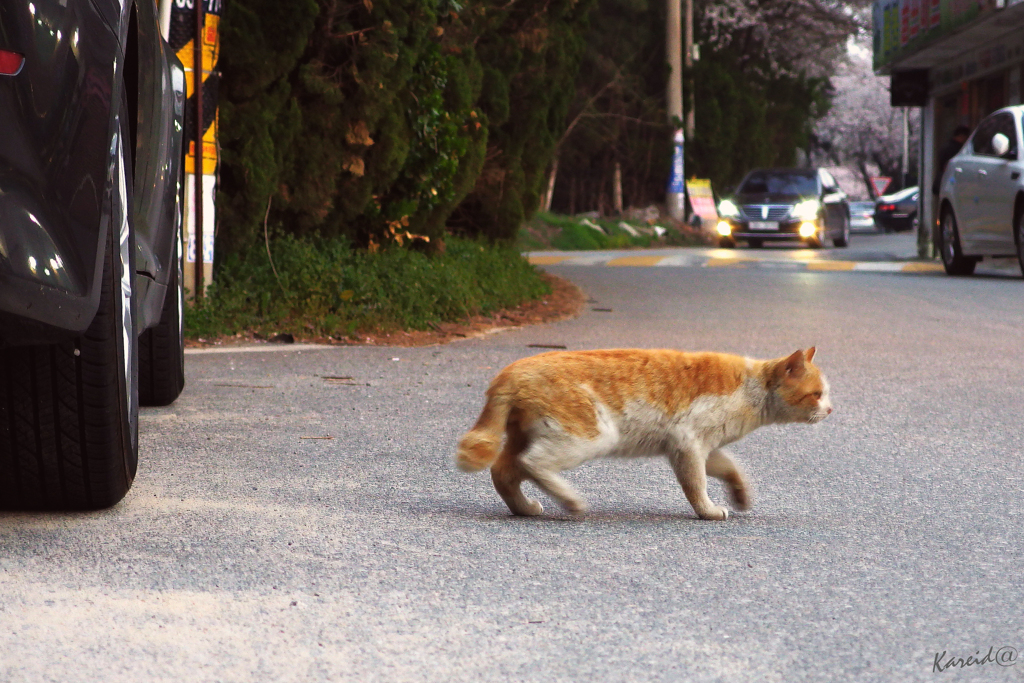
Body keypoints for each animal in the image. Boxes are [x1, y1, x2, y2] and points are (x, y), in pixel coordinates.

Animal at [456, 350, 831, 520]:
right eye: (816, 394)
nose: (830, 410)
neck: (751, 389)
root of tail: (511, 370)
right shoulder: (687, 445)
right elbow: (697, 485)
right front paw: (708, 511)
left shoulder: (706, 448)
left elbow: (730, 468)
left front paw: (739, 495)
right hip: (589, 435)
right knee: (533, 463)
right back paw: (571, 501)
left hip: (530, 437)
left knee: (504, 470)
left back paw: (524, 508)